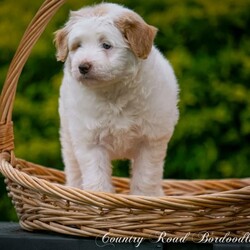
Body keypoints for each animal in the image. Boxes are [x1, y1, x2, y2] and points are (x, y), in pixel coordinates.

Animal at [55, 2, 180, 196]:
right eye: (77, 46)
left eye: (106, 45)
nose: (83, 66)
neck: (114, 91)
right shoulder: (90, 143)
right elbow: (97, 177)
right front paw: (98, 198)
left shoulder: (150, 141)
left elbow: (145, 177)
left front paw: (143, 198)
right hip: (69, 136)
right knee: (73, 168)